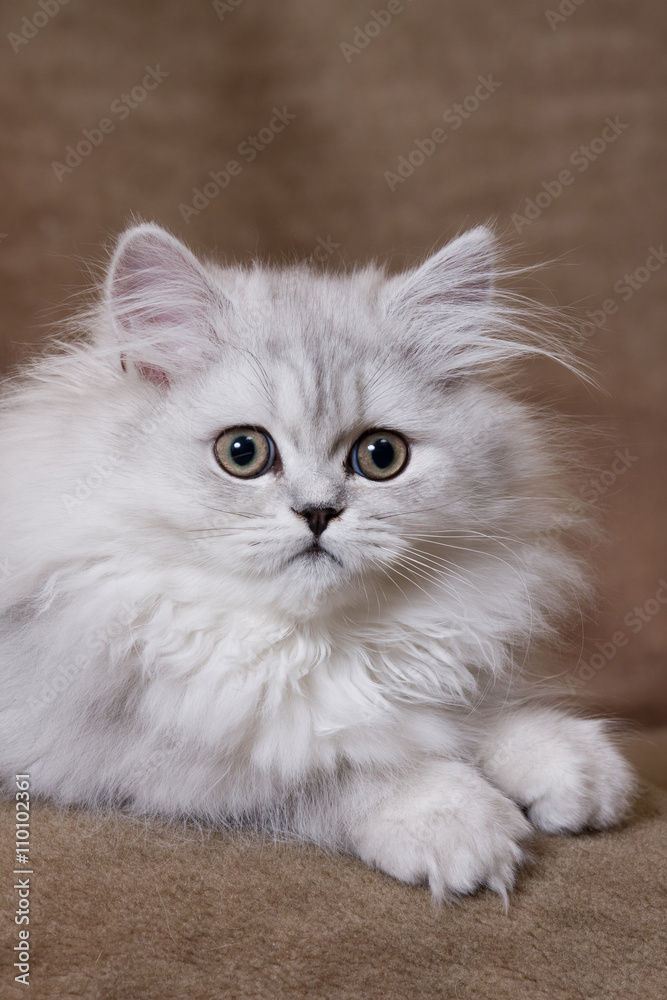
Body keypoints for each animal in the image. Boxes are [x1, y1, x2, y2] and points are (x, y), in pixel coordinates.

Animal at [0, 223, 636, 904]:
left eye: (382, 456)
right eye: (243, 452)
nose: (318, 512)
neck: (311, 643)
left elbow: (470, 713)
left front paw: (572, 763)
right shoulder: (115, 744)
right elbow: (332, 769)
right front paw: (453, 817)